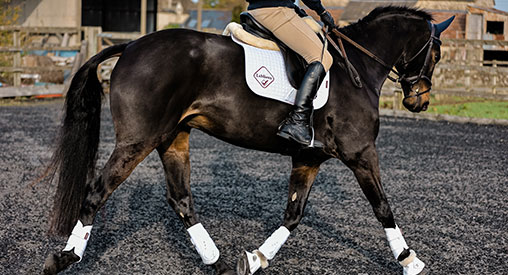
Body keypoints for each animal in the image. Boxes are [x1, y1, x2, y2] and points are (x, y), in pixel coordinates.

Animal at [43, 5, 454, 275]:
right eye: (435, 53)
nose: (419, 102)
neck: (358, 68)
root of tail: (129, 46)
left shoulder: (308, 158)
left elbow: (293, 214)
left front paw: (255, 259)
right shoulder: (361, 152)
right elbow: (383, 207)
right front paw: (410, 261)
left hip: (173, 136)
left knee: (180, 199)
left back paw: (220, 262)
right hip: (137, 140)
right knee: (97, 191)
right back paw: (64, 257)